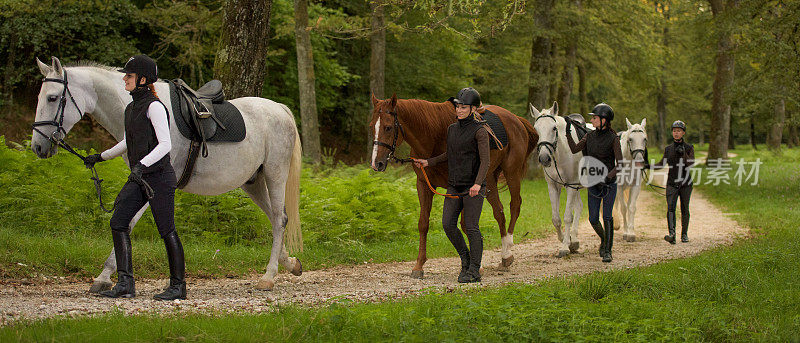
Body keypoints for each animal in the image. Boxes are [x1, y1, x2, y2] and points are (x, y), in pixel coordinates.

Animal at [29, 57, 302, 292]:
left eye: (53, 98)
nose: (38, 147)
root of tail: (280, 109)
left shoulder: (149, 183)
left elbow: (128, 222)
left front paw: (104, 277)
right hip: (252, 182)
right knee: (276, 218)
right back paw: (290, 264)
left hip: (275, 175)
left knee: (279, 219)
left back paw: (268, 277)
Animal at [370, 94, 536, 280]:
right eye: (371, 126)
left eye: (388, 127)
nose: (377, 163)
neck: (435, 137)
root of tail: (516, 119)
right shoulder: (423, 185)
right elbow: (423, 224)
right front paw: (419, 265)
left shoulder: (463, 189)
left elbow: (464, 224)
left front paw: (475, 267)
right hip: (489, 180)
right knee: (499, 212)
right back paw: (505, 256)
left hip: (511, 172)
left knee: (515, 205)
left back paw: (508, 251)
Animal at [528, 102, 584, 258]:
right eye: (536, 129)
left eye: (554, 128)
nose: (544, 158)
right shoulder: (553, 186)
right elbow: (556, 219)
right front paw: (567, 240)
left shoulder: (571, 186)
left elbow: (567, 217)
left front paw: (564, 247)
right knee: (579, 206)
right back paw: (575, 240)